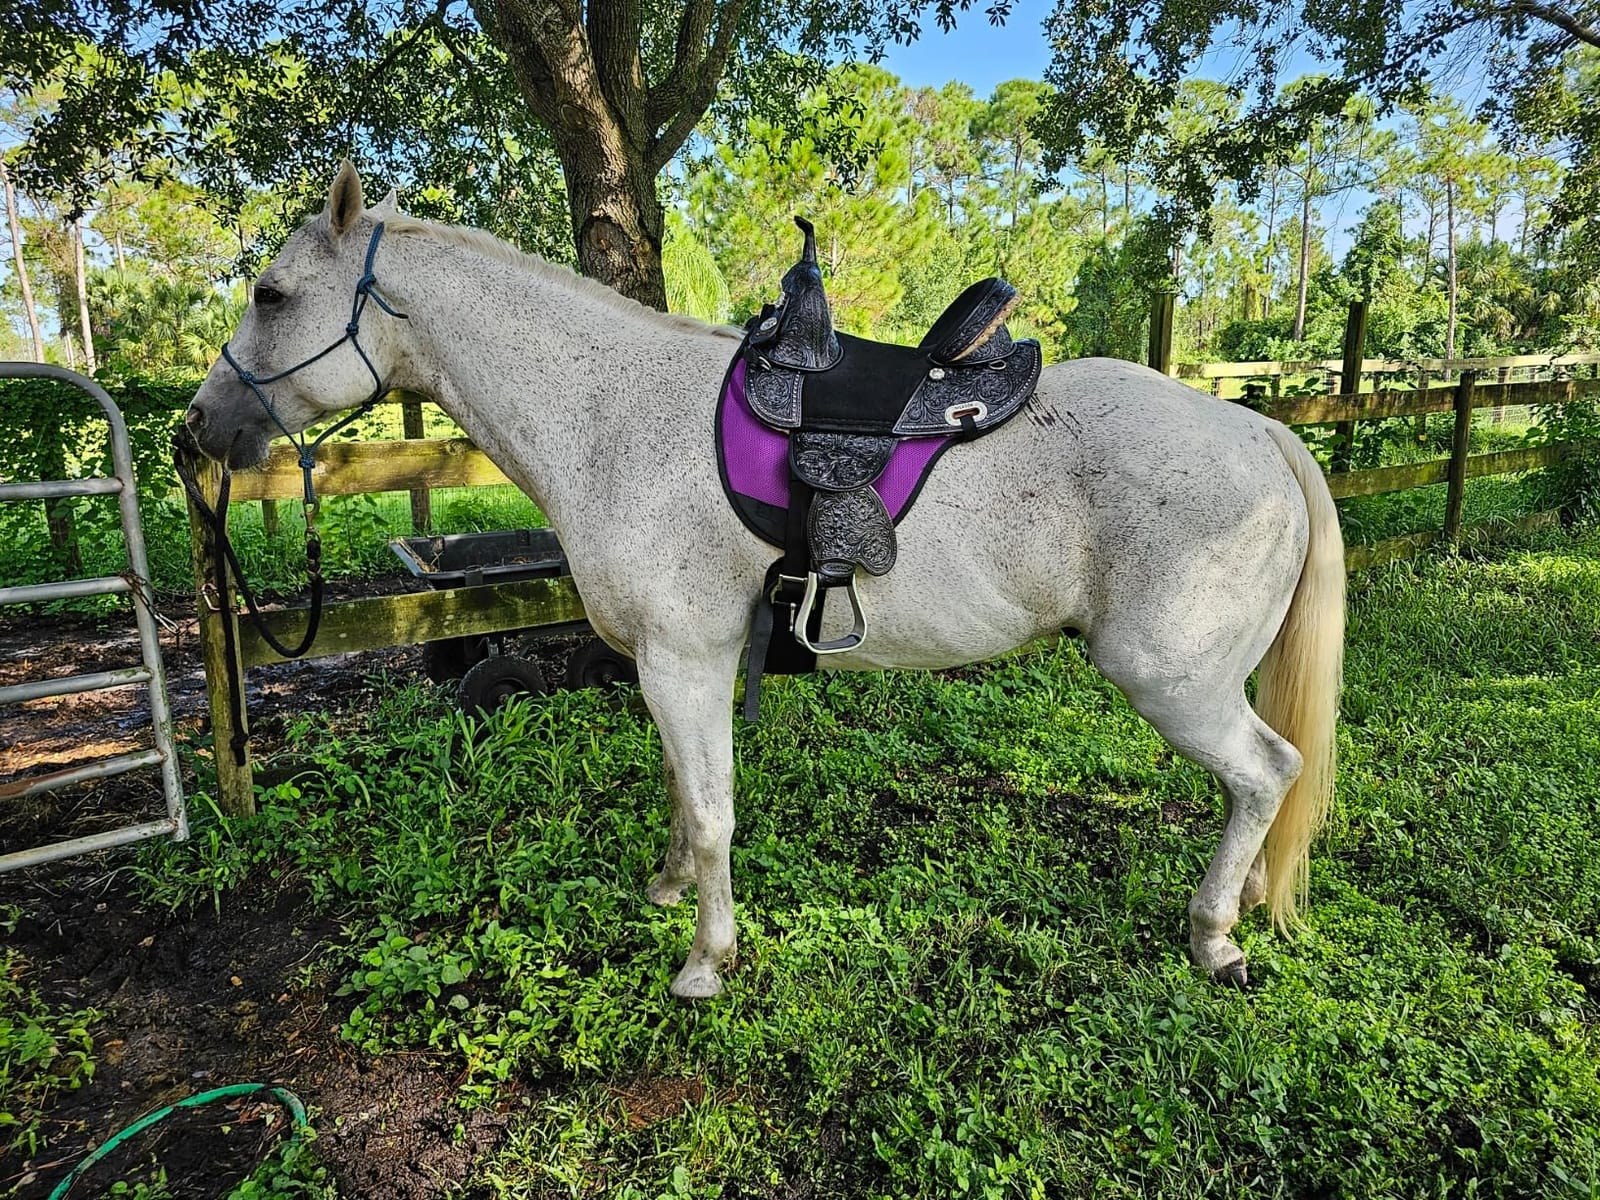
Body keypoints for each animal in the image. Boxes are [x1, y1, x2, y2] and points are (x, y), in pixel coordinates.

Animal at [185, 163, 1344, 999]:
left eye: (272, 294)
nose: (197, 427)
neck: (611, 415)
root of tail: (1259, 431)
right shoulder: (666, 668)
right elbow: (677, 790)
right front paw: (666, 892)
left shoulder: (686, 660)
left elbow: (711, 814)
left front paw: (707, 959)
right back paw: (1241, 908)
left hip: (1174, 682)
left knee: (1264, 775)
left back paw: (1214, 935)